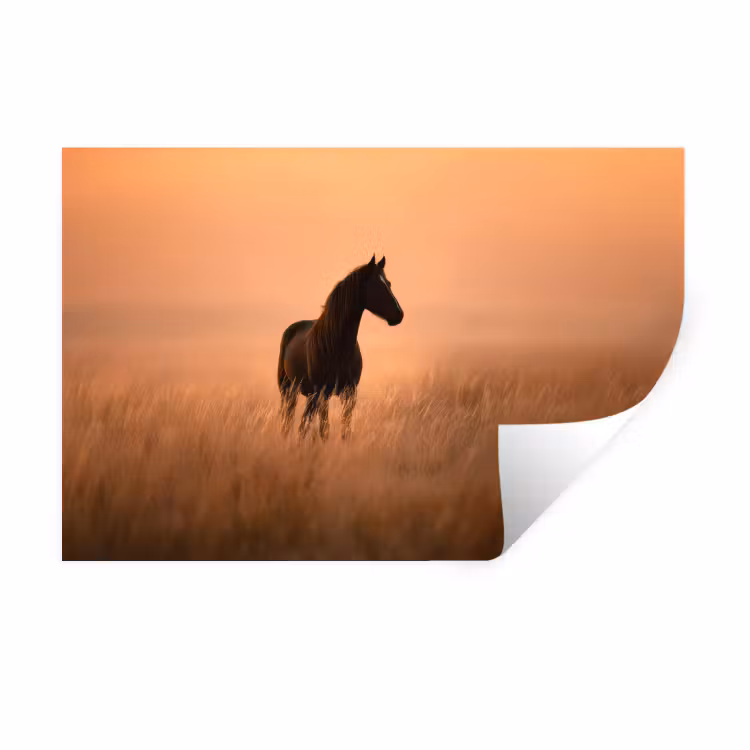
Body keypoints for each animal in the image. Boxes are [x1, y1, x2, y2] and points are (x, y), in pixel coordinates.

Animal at [277, 255, 404, 440]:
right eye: (377, 285)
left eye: (388, 283)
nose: (399, 315)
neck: (337, 347)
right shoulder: (323, 393)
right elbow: (324, 431)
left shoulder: (349, 393)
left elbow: (345, 430)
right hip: (290, 391)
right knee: (290, 422)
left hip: (309, 395)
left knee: (302, 424)